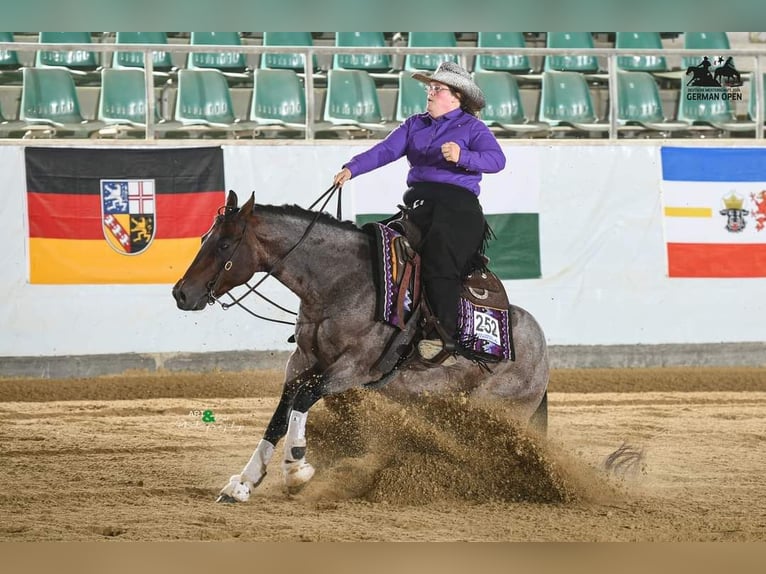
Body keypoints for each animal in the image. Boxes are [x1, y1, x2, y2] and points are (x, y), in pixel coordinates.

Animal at [172, 190, 552, 504]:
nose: (181, 293)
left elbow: (304, 398)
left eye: (225, 244)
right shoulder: (301, 361)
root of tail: (542, 354)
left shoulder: (352, 369)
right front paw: (242, 483)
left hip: (494, 413)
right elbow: (280, 416)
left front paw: (296, 470)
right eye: (205, 237)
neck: (343, 284)